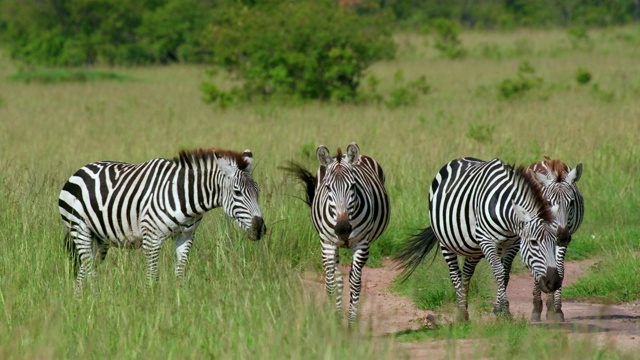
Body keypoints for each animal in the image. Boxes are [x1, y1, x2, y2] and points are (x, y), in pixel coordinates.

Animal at [56, 148, 264, 294]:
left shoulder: (186, 235)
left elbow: (179, 274)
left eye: (258, 191)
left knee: (84, 272)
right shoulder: (152, 238)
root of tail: (80, 170)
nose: (260, 228)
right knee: (89, 271)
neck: (185, 196)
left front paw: (180, 302)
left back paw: (81, 302)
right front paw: (152, 304)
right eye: (237, 192)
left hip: (99, 238)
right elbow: (152, 277)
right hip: (79, 228)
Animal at [282, 143, 390, 324]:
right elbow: (331, 282)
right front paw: (332, 318)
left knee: (351, 277)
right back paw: (337, 314)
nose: (342, 228)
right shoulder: (327, 244)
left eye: (353, 186)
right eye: (327, 188)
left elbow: (355, 282)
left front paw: (351, 322)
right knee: (337, 277)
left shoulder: (362, 244)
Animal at [392, 158, 564, 320]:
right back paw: (461, 312)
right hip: (445, 242)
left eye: (555, 241)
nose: (554, 282)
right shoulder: (488, 241)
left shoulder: (513, 244)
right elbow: (499, 272)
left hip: (474, 248)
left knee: (467, 271)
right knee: (455, 273)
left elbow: (505, 274)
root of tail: (459, 159)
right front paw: (504, 311)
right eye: (534, 242)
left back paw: (465, 305)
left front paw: (500, 310)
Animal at [528, 156, 584, 322]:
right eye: (548, 202)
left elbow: (558, 269)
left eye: (571, 202)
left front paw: (556, 309)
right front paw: (537, 308)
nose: (562, 236)